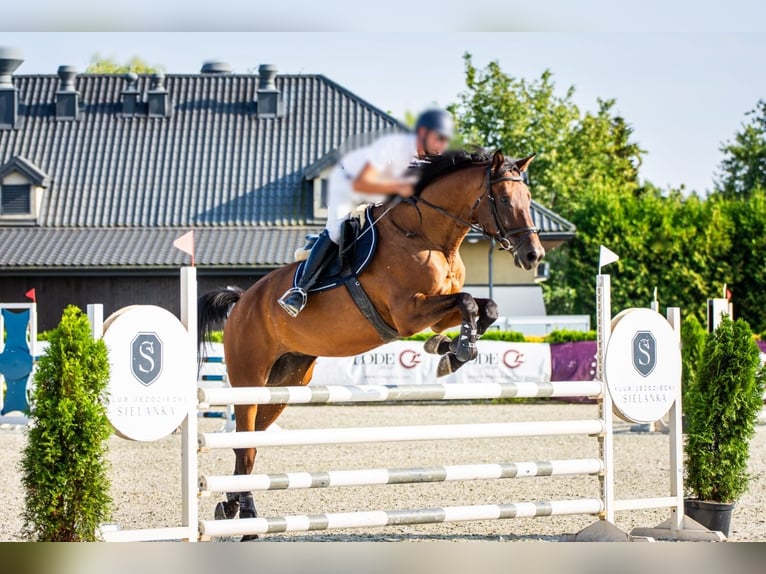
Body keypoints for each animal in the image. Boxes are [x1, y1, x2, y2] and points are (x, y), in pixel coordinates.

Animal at [198, 147, 544, 536]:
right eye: (504, 199)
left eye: (528, 197)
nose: (534, 256)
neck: (427, 236)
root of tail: (242, 300)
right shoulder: (409, 313)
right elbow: (469, 302)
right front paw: (457, 351)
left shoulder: (436, 311)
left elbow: (486, 308)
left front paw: (447, 350)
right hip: (250, 379)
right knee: (245, 446)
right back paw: (248, 518)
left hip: (285, 383)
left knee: (248, 444)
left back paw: (230, 507)